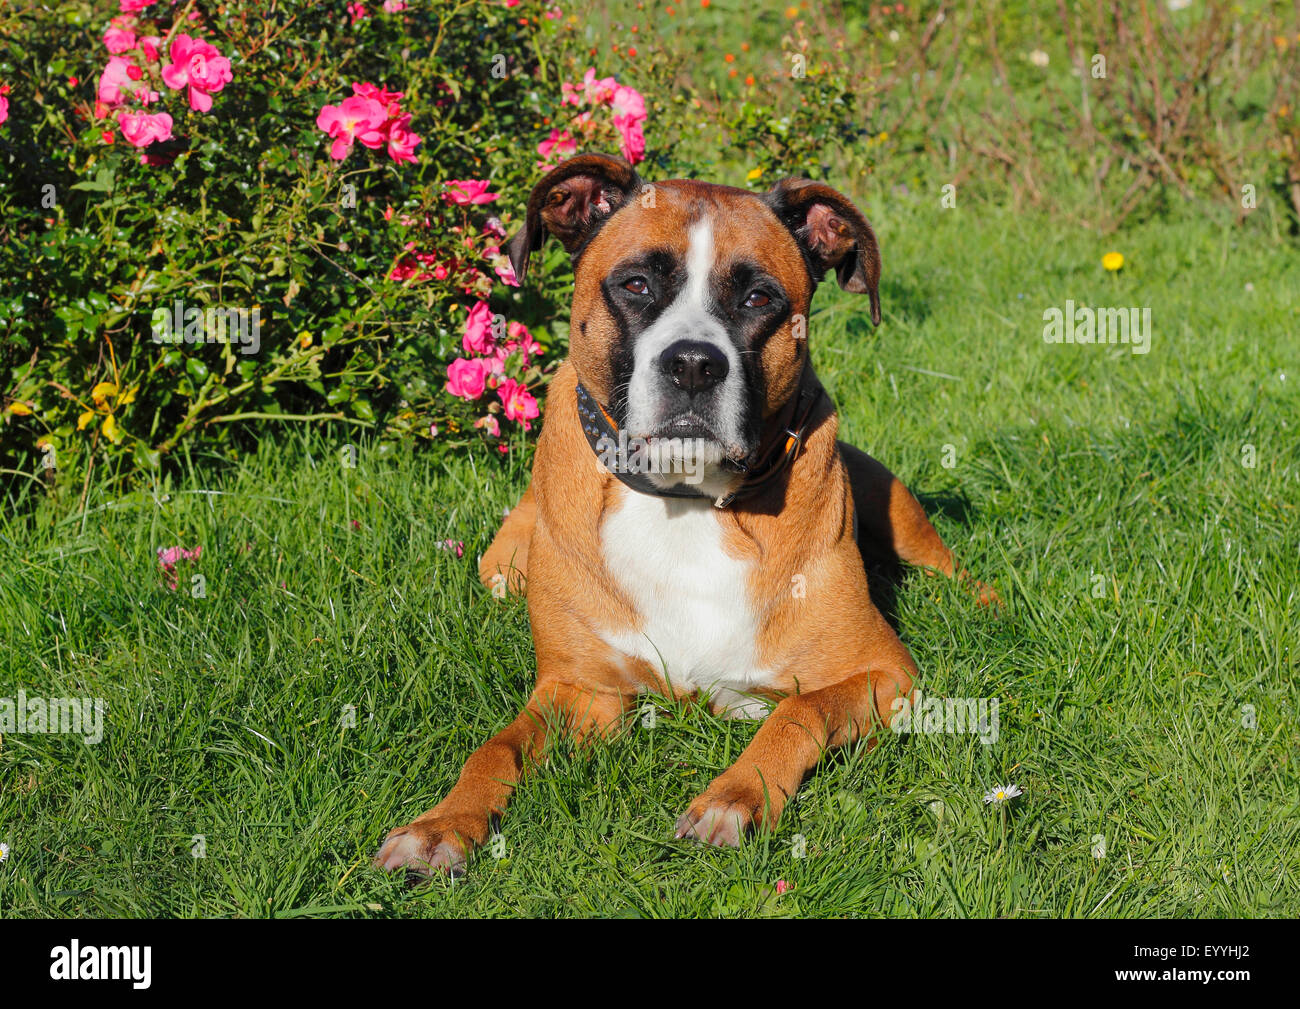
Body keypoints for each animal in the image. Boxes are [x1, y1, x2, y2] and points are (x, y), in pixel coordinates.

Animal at [377, 153, 993, 878]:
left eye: (759, 299)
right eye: (637, 284)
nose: (695, 364)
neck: (686, 499)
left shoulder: (882, 671)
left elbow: (800, 709)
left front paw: (734, 797)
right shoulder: (580, 690)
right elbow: (497, 746)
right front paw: (440, 824)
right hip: (502, 568)